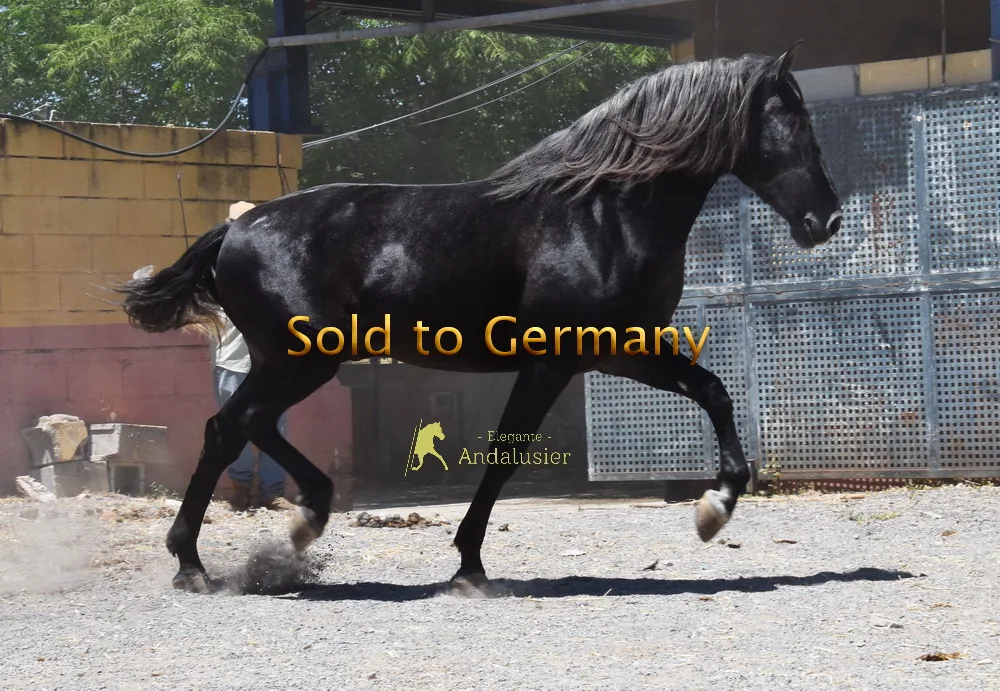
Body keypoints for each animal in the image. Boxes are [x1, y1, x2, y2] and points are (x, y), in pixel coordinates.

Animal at [116, 43, 842, 594]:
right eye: (797, 123)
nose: (827, 221)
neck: (603, 213)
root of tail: (235, 230)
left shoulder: (620, 349)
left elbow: (714, 390)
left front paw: (715, 508)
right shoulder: (554, 360)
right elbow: (506, 451)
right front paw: (469, 565)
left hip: (286, 359)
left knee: (236, 427)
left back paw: (253, 537)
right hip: (303, 357)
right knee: (234, 425)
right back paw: (233, 546)